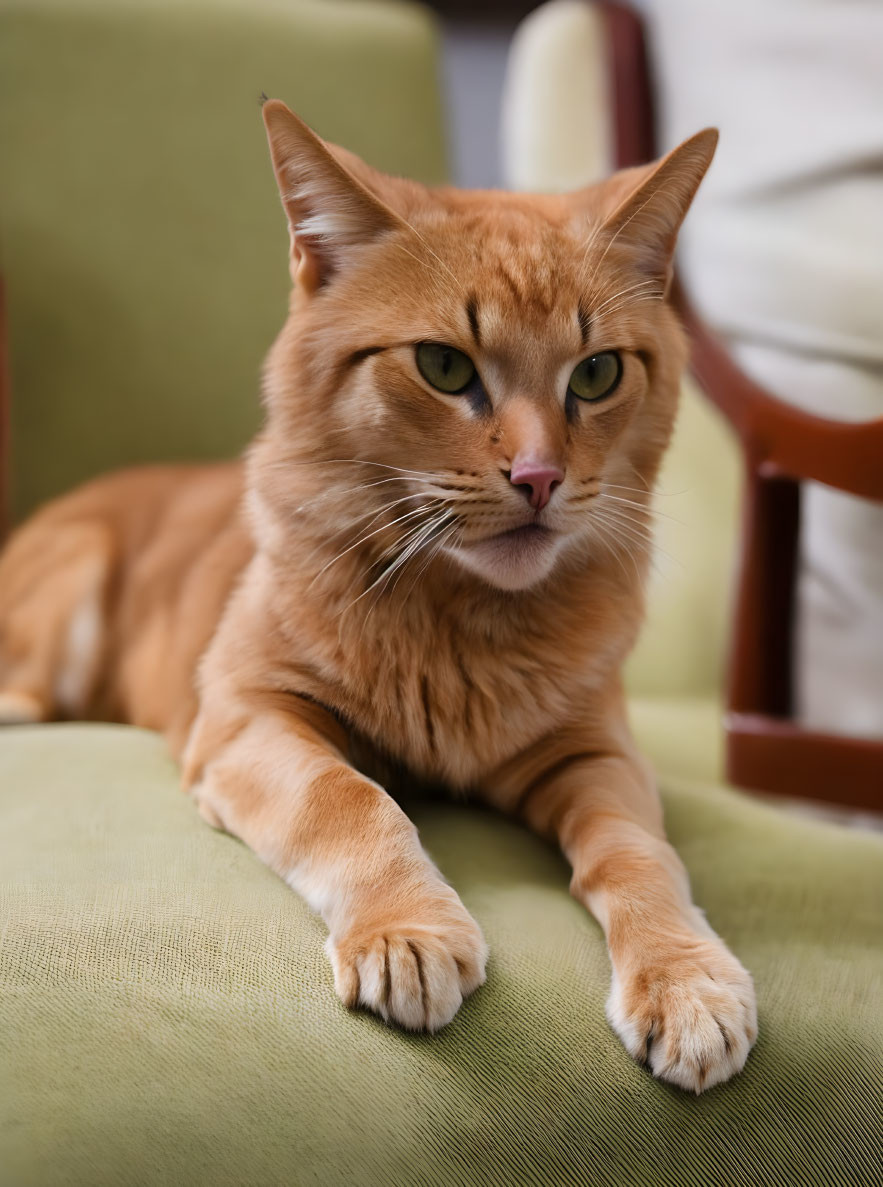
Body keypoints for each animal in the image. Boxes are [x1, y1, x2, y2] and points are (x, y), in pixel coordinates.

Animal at [0, 102, 759, 1092]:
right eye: (442, 364)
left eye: (595, 374)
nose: (540, 478)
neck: (463, 620)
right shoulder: (247, 717)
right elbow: (349, 796)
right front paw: (407, 931)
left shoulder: (596, 751)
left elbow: (641, 855)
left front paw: (687, 979)